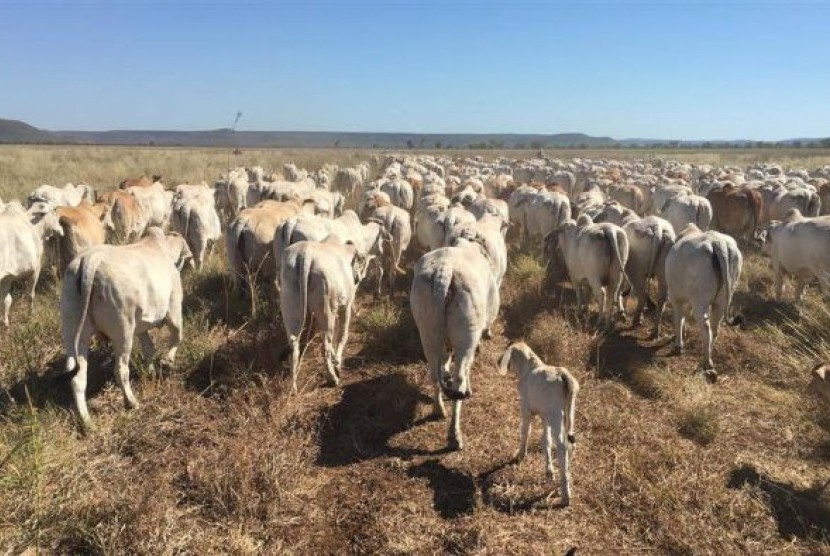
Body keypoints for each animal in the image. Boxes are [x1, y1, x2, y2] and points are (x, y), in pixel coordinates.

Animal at [61, 226, 184, 430]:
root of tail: (91, 259)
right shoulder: (174, 309)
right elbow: (177, 336)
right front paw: (167, 361)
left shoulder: (141, 328)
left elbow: (149, 349)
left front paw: (151, 372)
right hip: (123, 330)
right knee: (120, 370)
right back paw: (131, 402)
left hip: (74, 332)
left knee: (78, 379)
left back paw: (87, 422)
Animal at [500, 340, 580, 506]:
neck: (530, 368)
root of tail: (563, 375)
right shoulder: (544, 416)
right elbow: (545, 440)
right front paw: (549, 470)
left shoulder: (526, 408)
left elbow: (526, 431)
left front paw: (520, 454)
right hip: (569, 411)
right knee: (571, 442)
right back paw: (564, 479)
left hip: (556, 414)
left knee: (562, 445)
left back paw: (565, 494)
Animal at [668, 224, 744, 380]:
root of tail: (717, 242)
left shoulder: (676, 297)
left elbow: (679, 319)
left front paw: (678, 344)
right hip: (721, 301)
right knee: (715, 329)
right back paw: (706, 360)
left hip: (699, 301)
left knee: (706, 328)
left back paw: (707, 363)